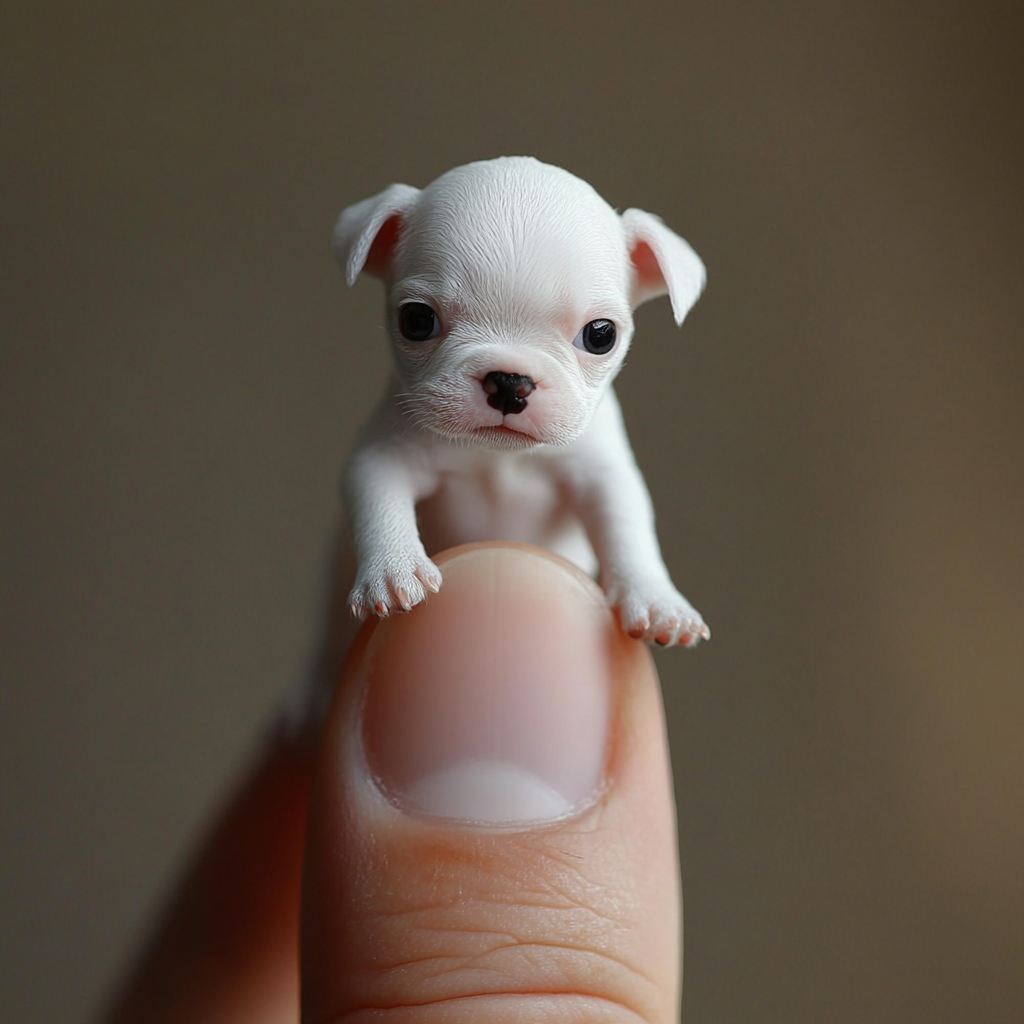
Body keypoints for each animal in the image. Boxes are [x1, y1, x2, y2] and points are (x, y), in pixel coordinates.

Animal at [325, 152, 704, 663]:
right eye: (416, 320)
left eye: (601, 335)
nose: (509, 382)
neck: (497, 457)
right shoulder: (385, 454)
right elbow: (378, 498)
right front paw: (393, 569)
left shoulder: (601, 473)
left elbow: (627, 524)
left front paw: (658, 598)